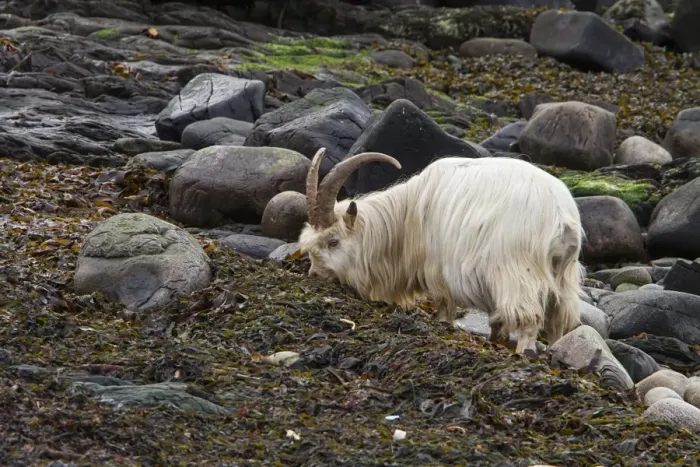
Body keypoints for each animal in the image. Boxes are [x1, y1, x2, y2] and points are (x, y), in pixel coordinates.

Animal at [298, 148, 585, 354]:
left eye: (333, 242)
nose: (314, 276)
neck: (407, 216)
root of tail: (560, 218)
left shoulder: (439, 272)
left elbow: (446, 308)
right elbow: (497, 320)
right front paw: (496, 341)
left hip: (516, 272)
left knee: (529, 318)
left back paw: (523, 354)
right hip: (563, 276)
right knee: (558, 320)